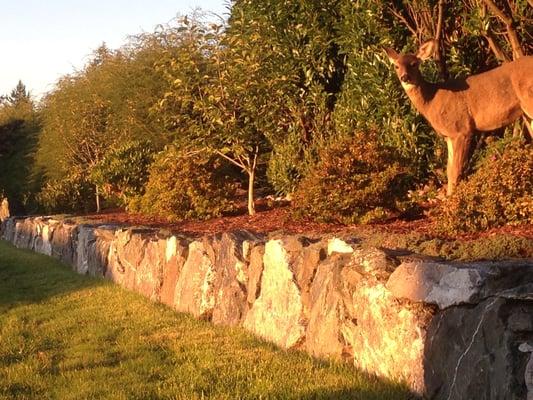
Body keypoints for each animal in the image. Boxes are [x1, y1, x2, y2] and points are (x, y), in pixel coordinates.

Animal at [382, 39, 532, 196]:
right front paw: (449, 196)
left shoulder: (461, 129)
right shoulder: (449, 135)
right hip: (525, 112)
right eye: (396, 66)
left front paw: (454, 199)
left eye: (414, 64)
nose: (404, 77)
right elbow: (448, 169)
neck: (432, 100)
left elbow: (456, 170)